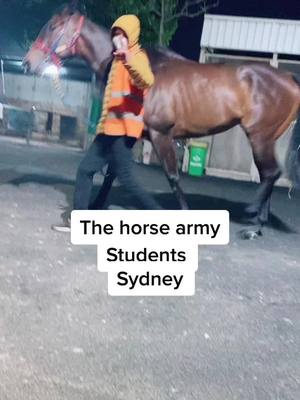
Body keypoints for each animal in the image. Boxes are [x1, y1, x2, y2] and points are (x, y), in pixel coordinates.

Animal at [23, 3, 300, 239]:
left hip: (259, 136)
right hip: (265, 138)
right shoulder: (129, 136)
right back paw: (258, 222)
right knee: (268, 174)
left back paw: (253, 220)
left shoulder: (160, 134)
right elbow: (112, 172)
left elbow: (172, 176)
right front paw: (95, 204)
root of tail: (289, 78)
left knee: (271, 173)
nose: (28, 63)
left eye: (53, 27)